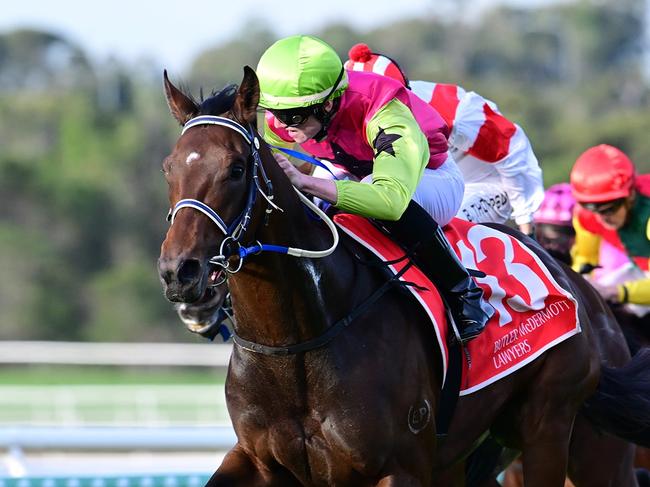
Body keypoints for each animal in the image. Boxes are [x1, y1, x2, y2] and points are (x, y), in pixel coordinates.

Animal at [157, 66, 648, 487]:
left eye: (237, 168)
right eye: (169, 168)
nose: (179, 271)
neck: (294, 343)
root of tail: (584, 292)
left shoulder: (400, 466)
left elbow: (393, 197)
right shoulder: (257, 460)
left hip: (560, 432)